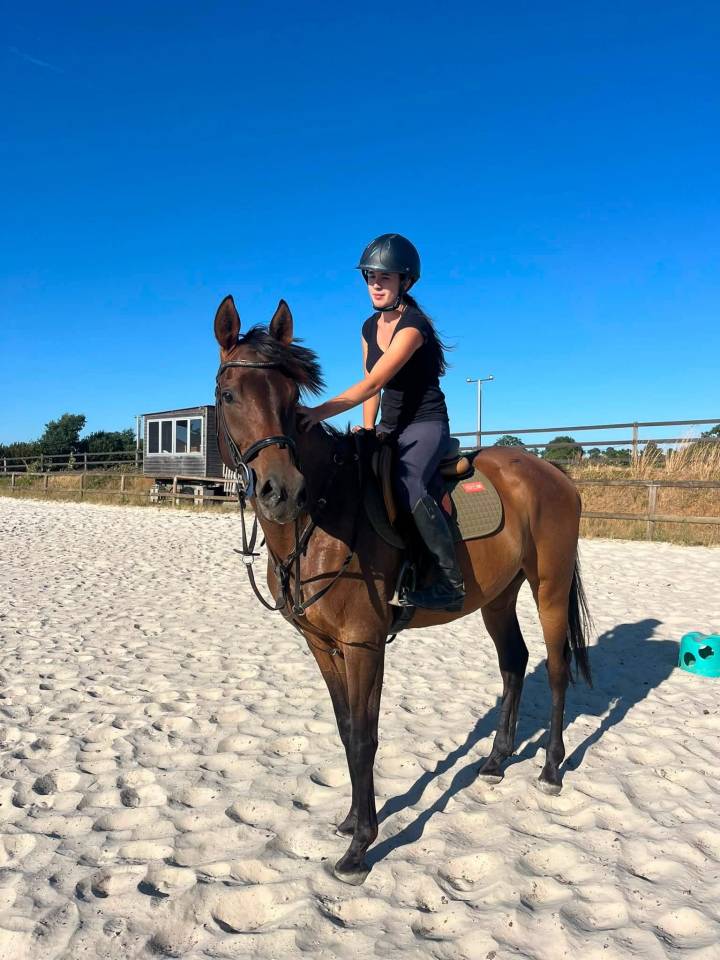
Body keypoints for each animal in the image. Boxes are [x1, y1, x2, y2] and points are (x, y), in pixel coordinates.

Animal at [213, 294, 592, 885]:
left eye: (294, 400)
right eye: (229, 394)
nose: (282, 491)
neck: (322, 514)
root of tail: (551, 472)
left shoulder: (364, 643)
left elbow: (366, 736)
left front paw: (360, 848)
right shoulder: (322, 645)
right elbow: (346, 729)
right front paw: (350, 821)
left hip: (548, 586)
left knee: (555, 668)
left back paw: (551, 770)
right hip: (498, 597)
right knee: (514, 662)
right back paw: (495, 762)